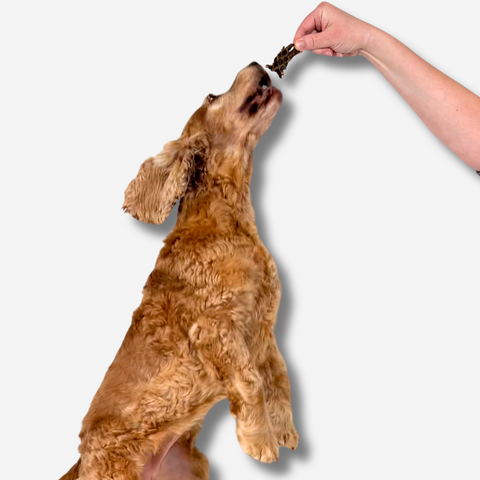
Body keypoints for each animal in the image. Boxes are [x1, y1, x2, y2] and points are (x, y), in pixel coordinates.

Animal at [61, 62, 298, 478]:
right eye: (212, 97)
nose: (256, 63)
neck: (227, 220)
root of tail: (81, 461)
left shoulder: (263, 328)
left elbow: (279, 377)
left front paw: (284, 430)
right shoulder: (216, 328)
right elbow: (252, 382)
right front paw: (261, 443)